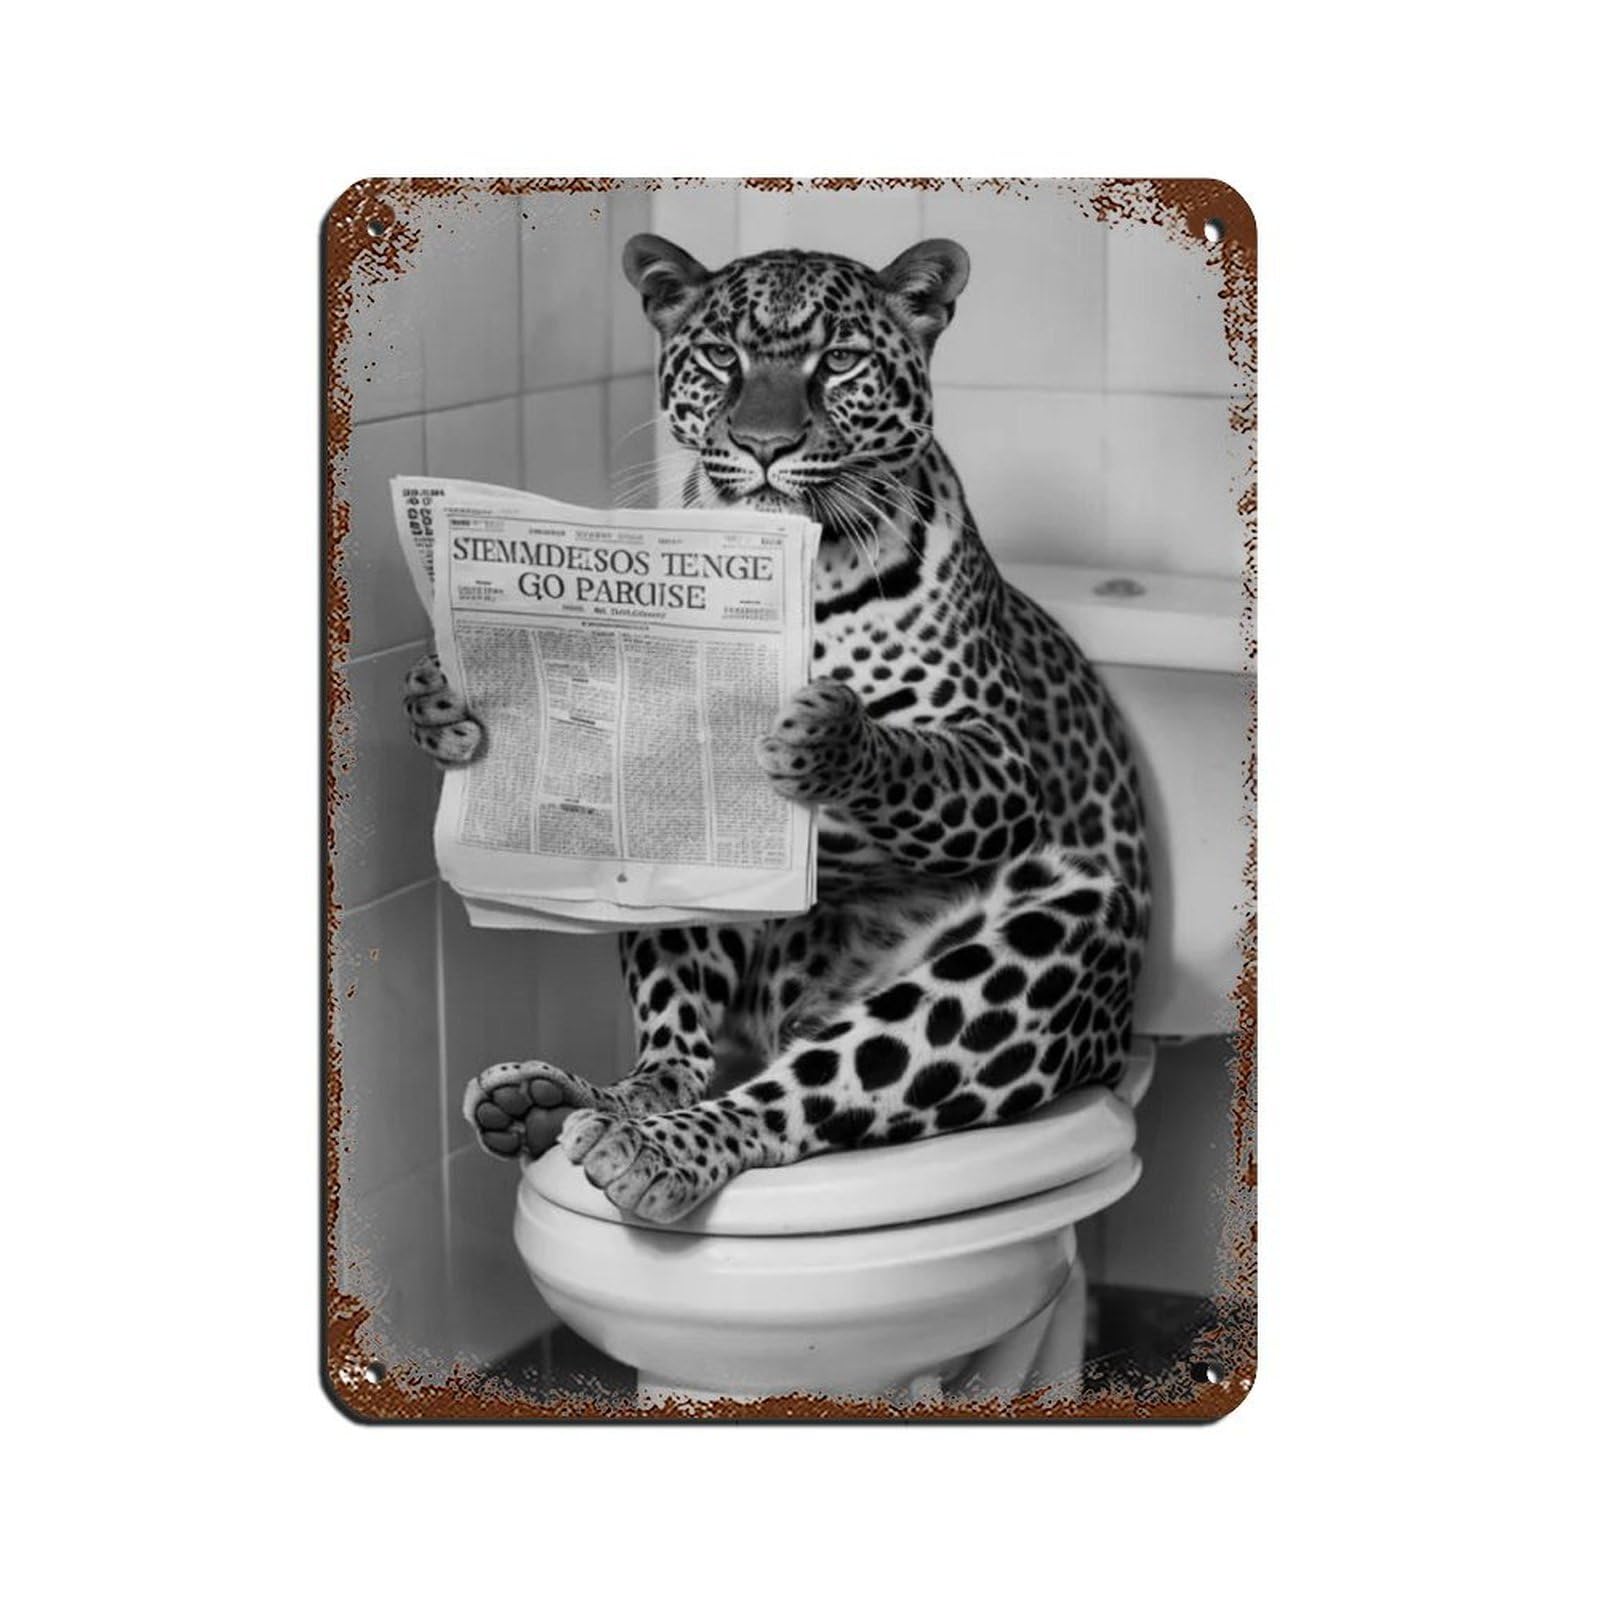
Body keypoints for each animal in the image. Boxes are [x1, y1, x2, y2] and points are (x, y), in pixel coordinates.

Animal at [405, 232, 1152, 1225]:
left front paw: (828, 736)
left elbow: (914, 760)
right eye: (723, 357)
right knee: (678, 1051)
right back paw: (567, 1104)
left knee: (802, 1093)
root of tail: (810, 1012)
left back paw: (660, 1148)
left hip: (1061, 932)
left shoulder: (999, 768)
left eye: (838, 362)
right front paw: (443, 700)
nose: (764, 446)